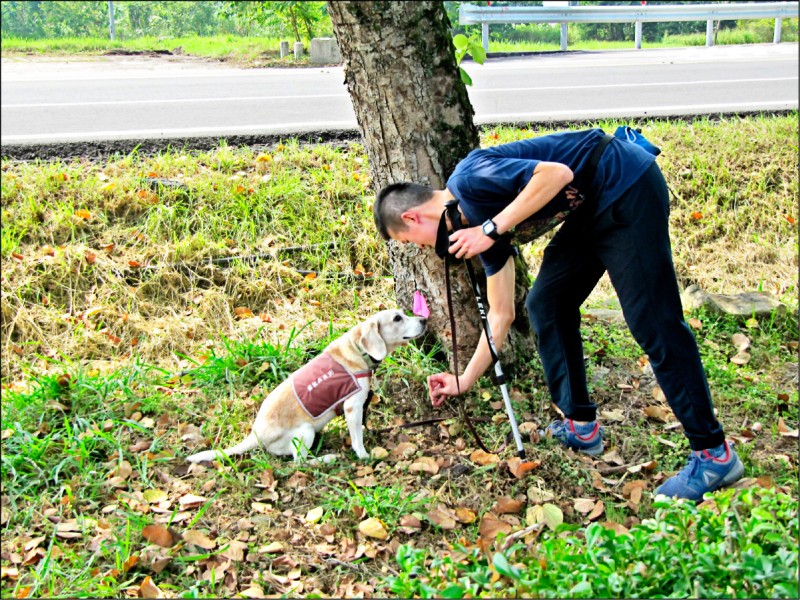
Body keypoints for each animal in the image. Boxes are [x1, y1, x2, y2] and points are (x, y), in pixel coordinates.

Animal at [188, 310, 428, 464]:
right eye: (397, 318)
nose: (425, 320)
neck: (358, 350)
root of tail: (255, 434)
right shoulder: (353, 407)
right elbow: (357, 438)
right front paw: (363, 455)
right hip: (305, 433)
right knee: (299, 462)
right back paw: (326, 459)